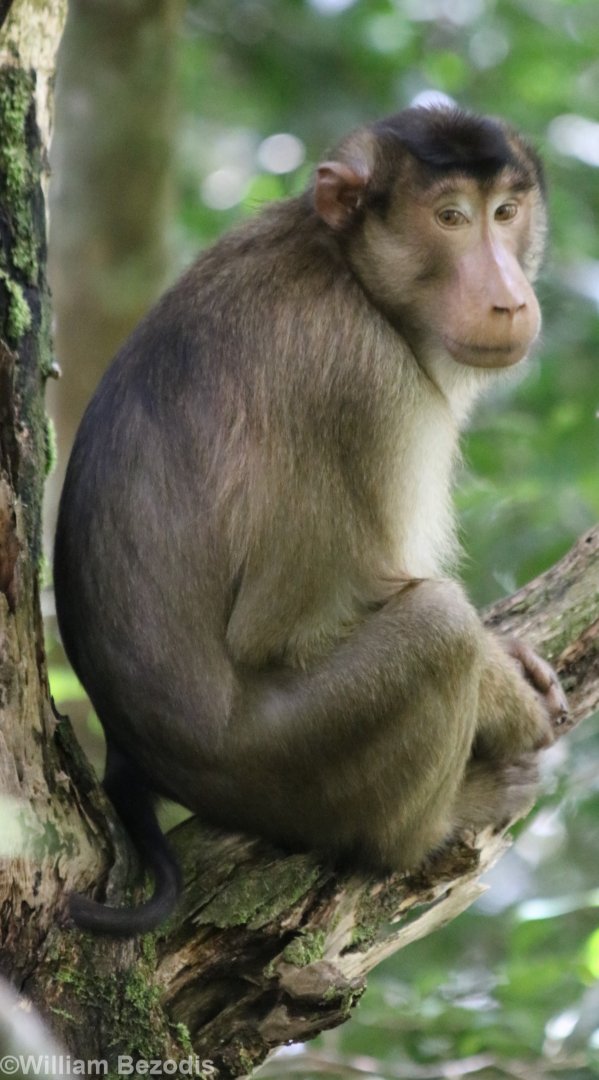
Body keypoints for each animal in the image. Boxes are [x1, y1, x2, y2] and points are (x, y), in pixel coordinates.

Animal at [53, 105, 569, 937]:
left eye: (504, 213)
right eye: (449, 219)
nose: (508, 297)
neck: (345, 268)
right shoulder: (364, 380)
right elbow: (292, 631)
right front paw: (504, 688)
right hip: (285, 765)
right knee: (434, 629)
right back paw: (423, 830)